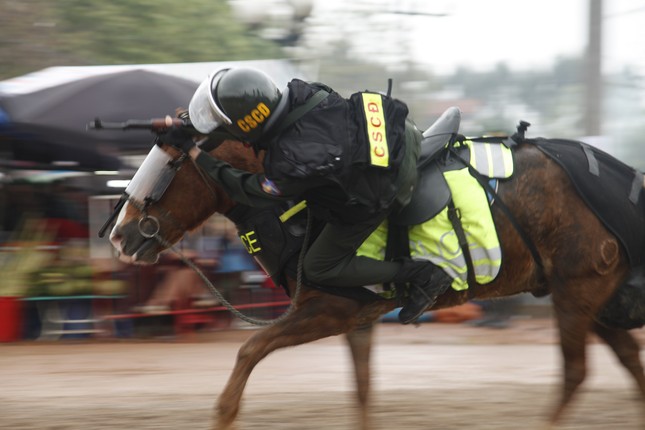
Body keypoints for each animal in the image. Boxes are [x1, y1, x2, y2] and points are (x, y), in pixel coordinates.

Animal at [104, 111, 644, 430]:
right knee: (628, 364)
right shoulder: (357, 318)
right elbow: (362, 391)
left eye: (165, 167)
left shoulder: (328, 310)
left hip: (577, 291)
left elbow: (249, 350)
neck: (298, 202)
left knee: (575, 372)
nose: (120, 234)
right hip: (591, 298)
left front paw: (223, 413)